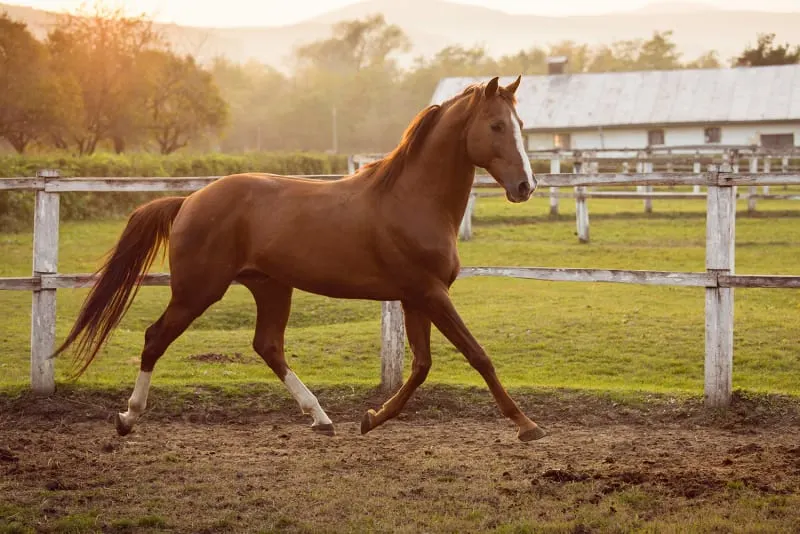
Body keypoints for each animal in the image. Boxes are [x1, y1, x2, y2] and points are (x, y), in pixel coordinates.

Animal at [53, 75, 546, 442]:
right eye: (496, 126)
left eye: (521, 122)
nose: (526, 186)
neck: (412, 198)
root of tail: (190, 199)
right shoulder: (430, 293)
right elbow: (478, 355)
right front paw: (527, 425)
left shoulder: (415, 297)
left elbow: (422, 367)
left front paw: (371, 418)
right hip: (198, 291)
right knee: (156, 338)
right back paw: (128, 417)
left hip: (270, 287)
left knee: (267, 345)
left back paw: (321, 417)